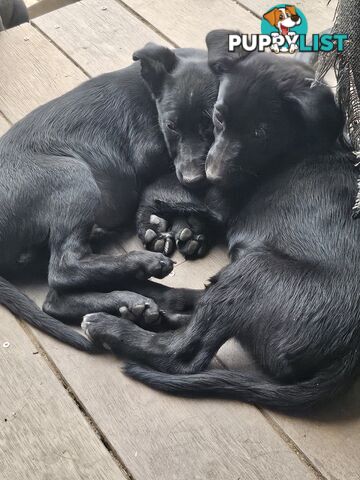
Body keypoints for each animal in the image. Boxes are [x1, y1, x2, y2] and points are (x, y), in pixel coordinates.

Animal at [0, 44, 217, 348]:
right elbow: (164, 187)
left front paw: (185, 229)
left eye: (211, 123)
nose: (192, 178)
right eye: (171, 126)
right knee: (64, 267)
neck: (151, 98)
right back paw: (143, 265)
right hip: (74, 176)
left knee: (55, 298)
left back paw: (132, 303)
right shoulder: (151, 158)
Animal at [81, 30, 360, 412]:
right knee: (191, 304)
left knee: (183, 353)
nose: (207, 176)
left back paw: (112, 326)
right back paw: (149, 306)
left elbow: (158, 185)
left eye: (261, 133)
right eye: (218, 116)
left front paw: (150, 220)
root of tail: (348, 357)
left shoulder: (218, 197)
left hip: (254, 271)